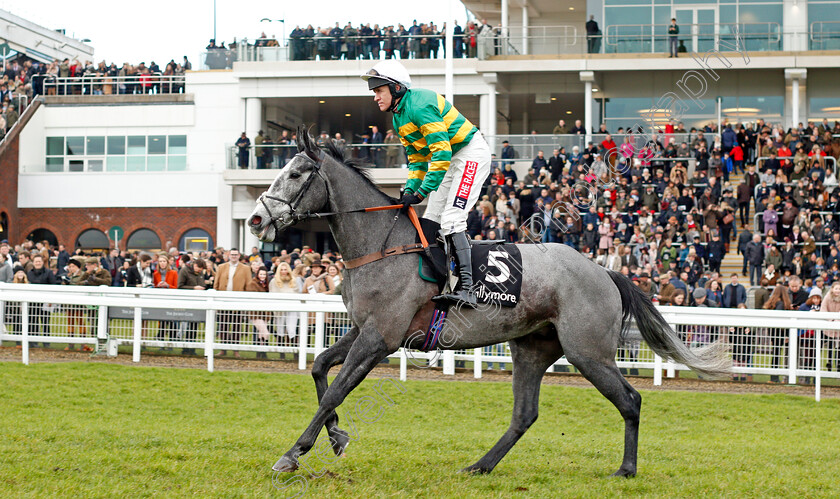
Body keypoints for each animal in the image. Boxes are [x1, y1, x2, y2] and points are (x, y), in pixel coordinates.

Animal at [246, 129, 724, 480]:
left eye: (296, 173)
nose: (255, 219)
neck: (381, 246)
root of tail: (604, 272)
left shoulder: (381, 338)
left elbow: (335, 391)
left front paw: (294, 453)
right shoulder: (365, 330)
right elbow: (319, 368)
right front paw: (337, 438)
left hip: (587, 351)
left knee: (630, 400)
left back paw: (626, 469)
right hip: (533, 347)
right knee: (525, 414)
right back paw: (480, 465)